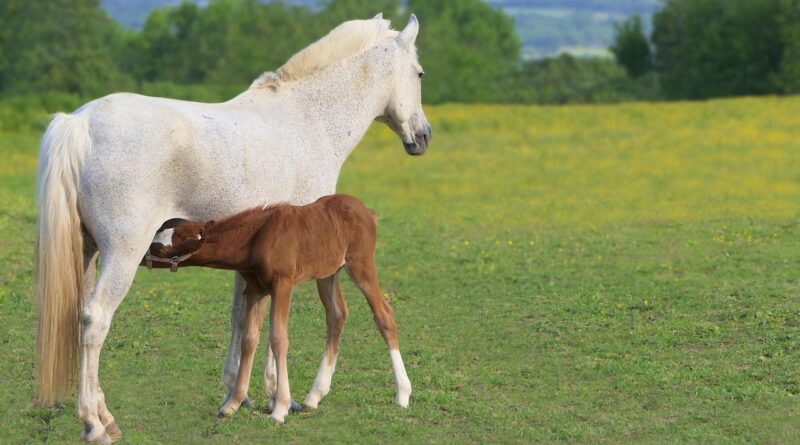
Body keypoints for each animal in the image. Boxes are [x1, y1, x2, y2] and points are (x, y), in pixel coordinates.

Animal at [143, 194, 412, 423]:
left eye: (160, 248)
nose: (142, 257)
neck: (256, 238)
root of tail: (367, 211)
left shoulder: (283, 285)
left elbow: (278, 338)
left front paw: (280, 408)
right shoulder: (256, 289)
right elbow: (249, 338)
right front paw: (232, 404)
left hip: (360, 264)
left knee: (384, 315)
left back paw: (402, 394)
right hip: (327, 273)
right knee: (336, 315)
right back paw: (314, 397)